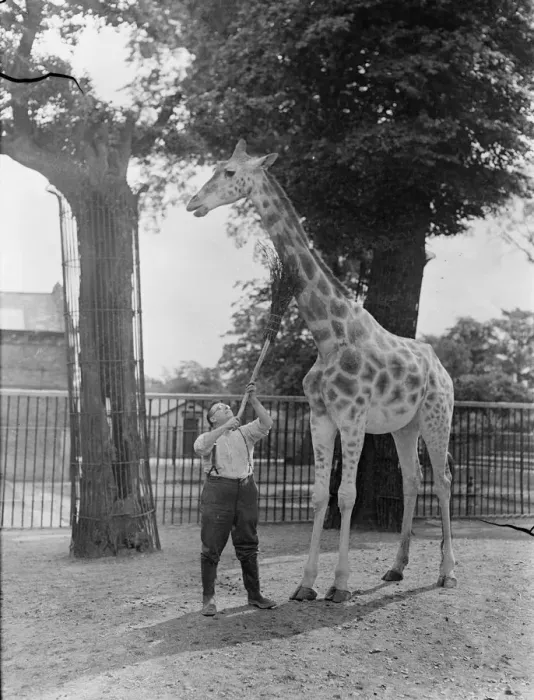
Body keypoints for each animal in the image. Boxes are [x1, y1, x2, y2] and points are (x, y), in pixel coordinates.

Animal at [186, 140, 457, 601]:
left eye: (228, 172)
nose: (193, 203)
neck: (329, 335)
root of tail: (442, 369)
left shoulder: (352, 416)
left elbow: (346, 494)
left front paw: (340, 584)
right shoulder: (321, 416)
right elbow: (317, 495)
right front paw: (306, 584)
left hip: (438, 416)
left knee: (443, 479)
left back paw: (447, 572)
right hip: (405, 426)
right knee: (412, 479)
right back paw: (396, 567)